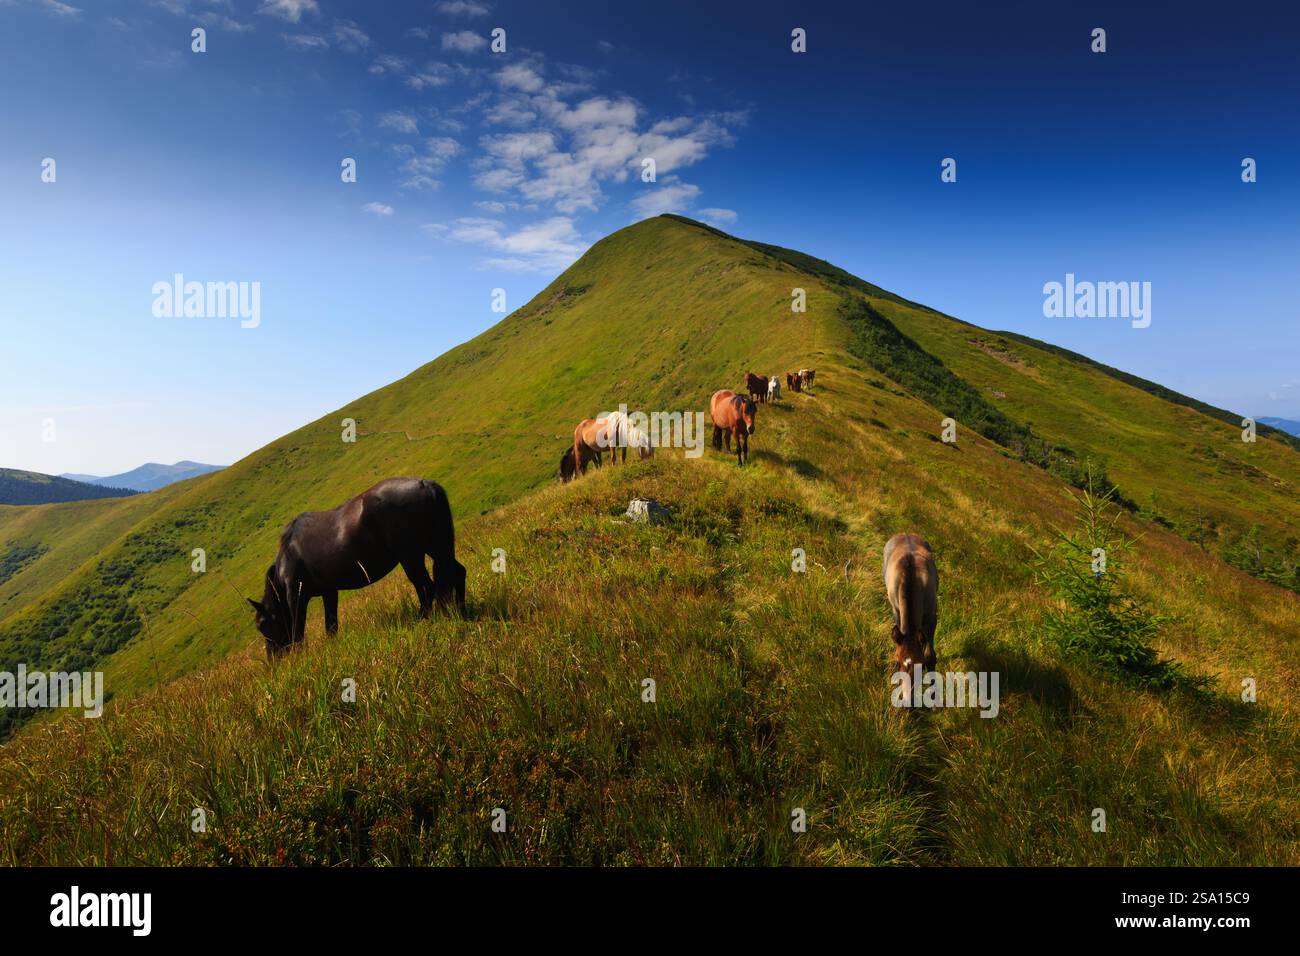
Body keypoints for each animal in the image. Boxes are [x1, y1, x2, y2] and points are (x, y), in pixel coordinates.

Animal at [248, 477, 466, 659]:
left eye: (262, 624)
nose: (272, 660)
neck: (288, 553)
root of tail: (425, 484)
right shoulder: (329, 592)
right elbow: (331, 625)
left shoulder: (296, 597)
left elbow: (298, 631)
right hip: (437, 547)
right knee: (457, 573)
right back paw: (461, 611)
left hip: (411, 556)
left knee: (427, 587)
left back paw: (423, 619)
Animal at [882, 533, 938, 676]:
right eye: (897, 662)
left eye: (920, 665)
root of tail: (904, 533)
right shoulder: (896, 610)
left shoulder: (931, 617)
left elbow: (930, 655)